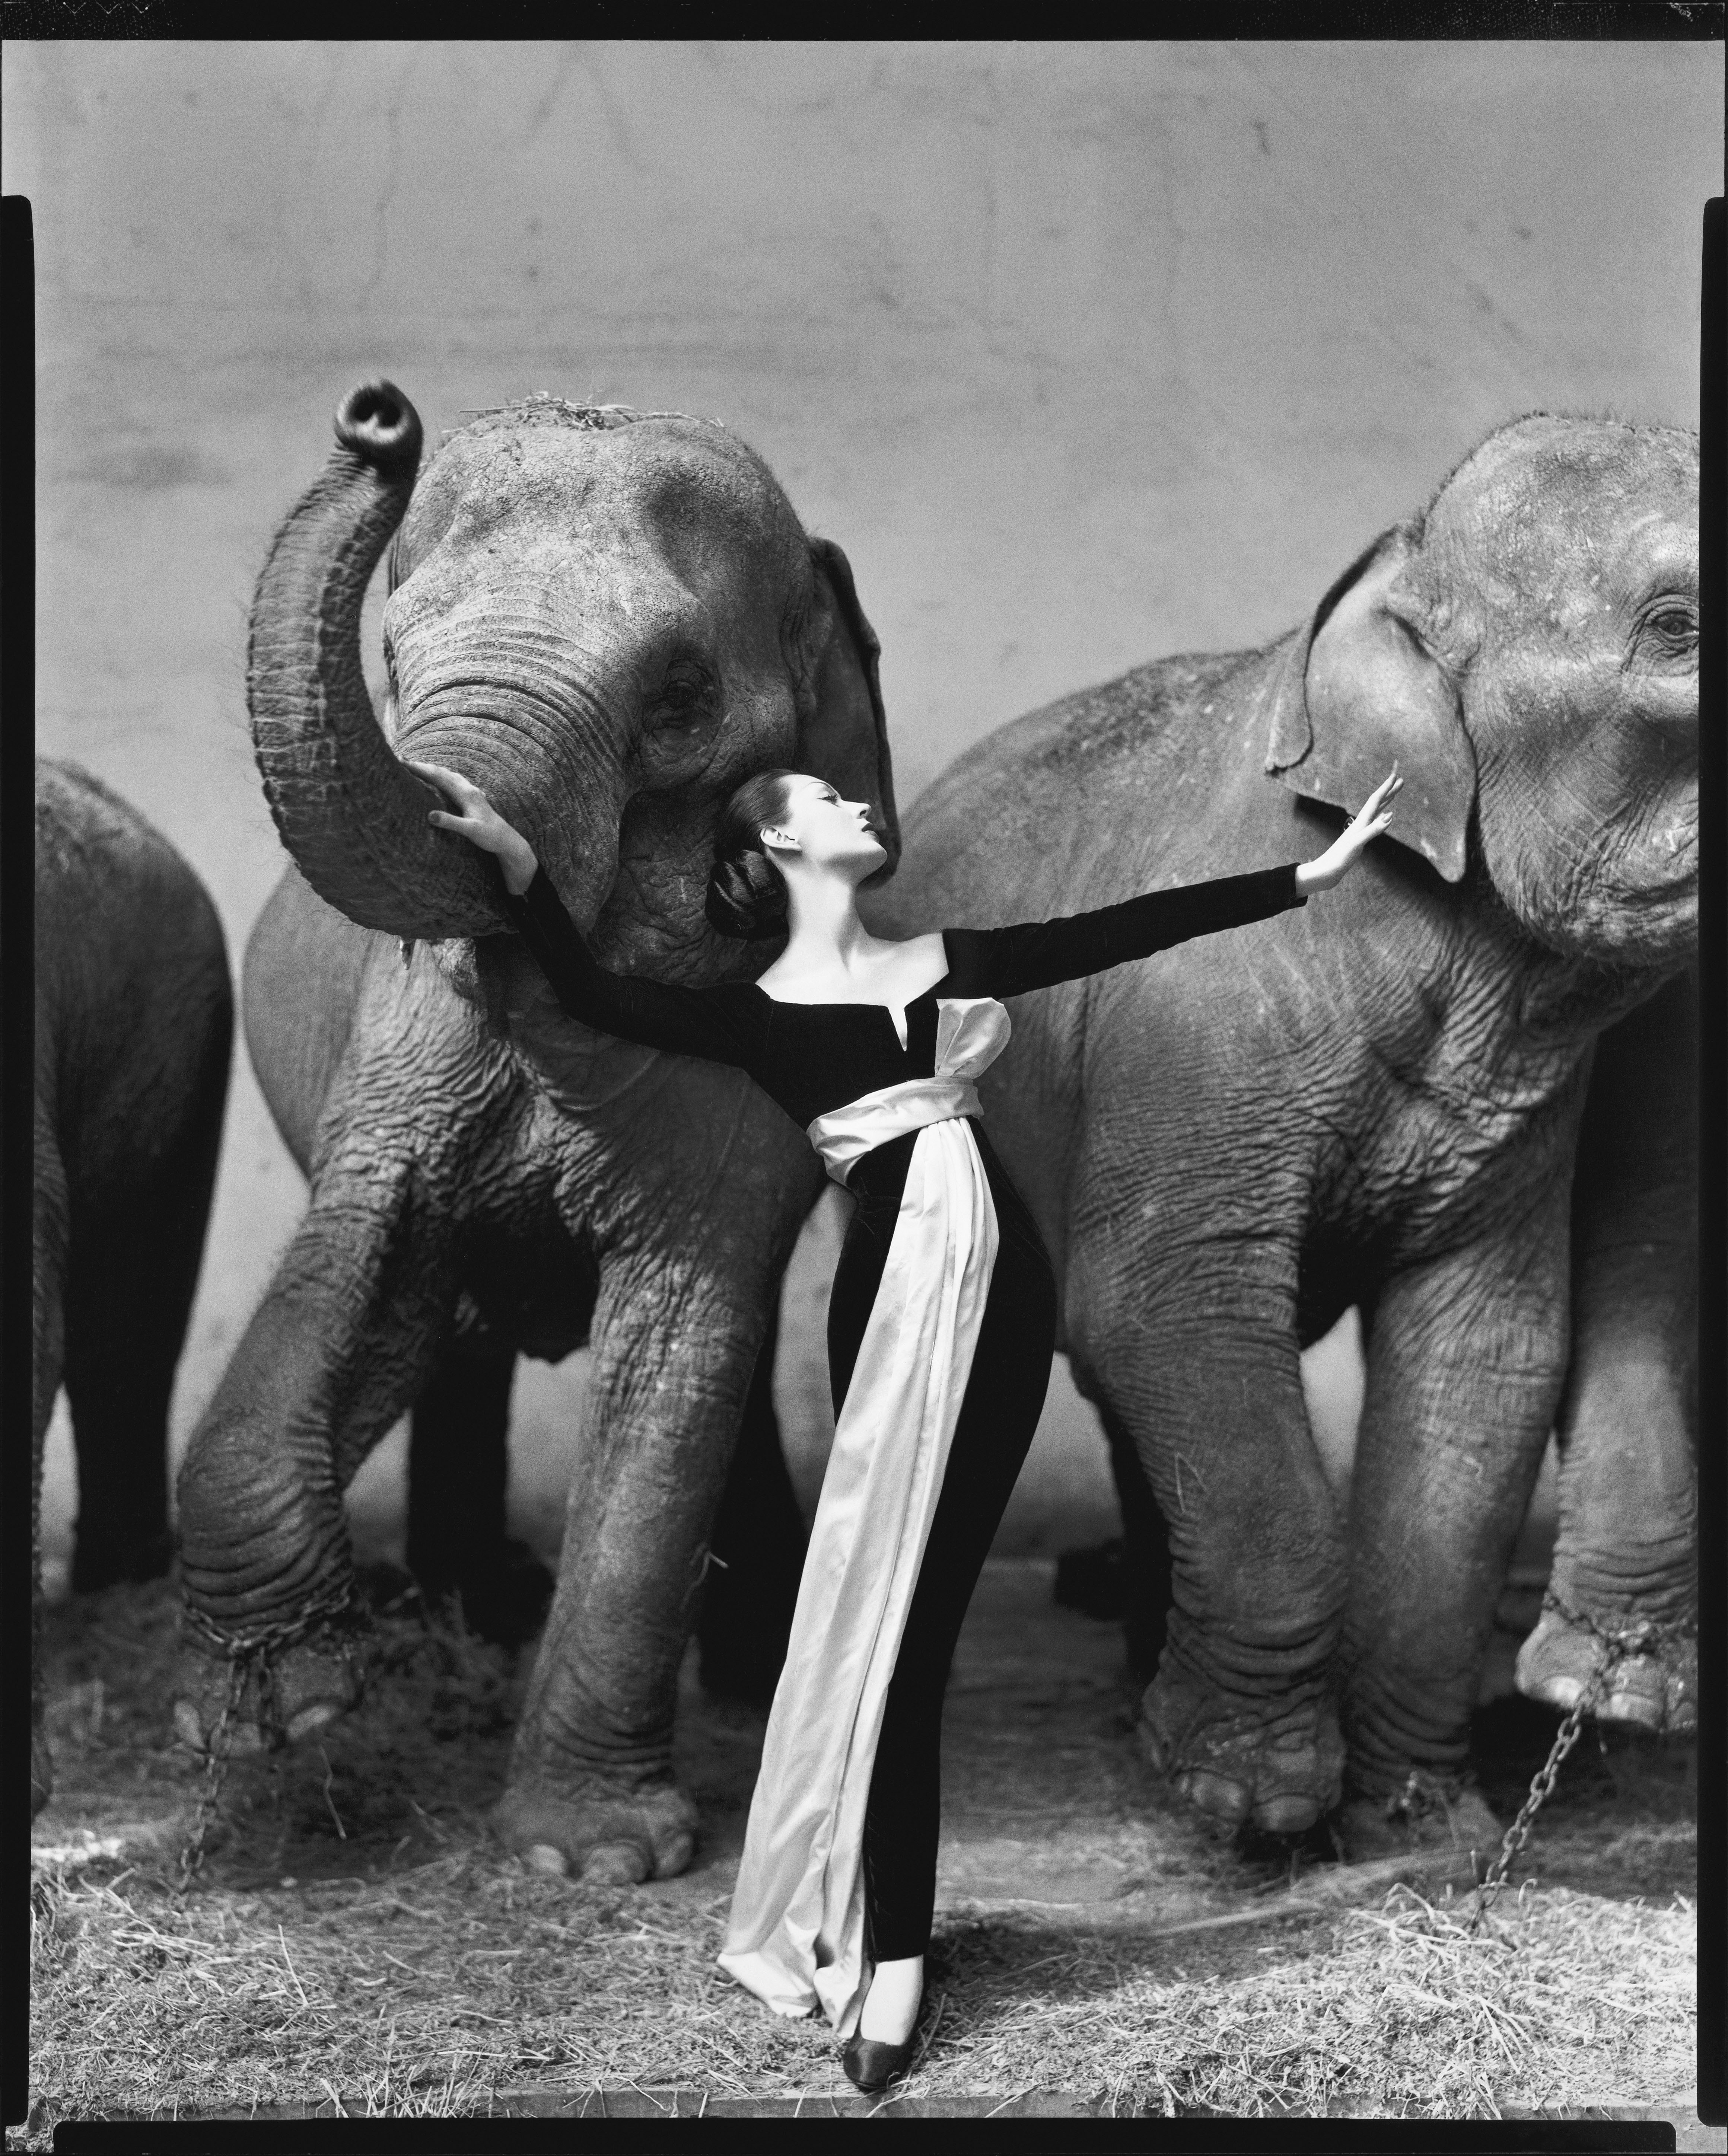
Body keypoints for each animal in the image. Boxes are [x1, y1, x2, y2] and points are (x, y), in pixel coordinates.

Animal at [170, 382, 892, 1881]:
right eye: (389, 653)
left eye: (677, 694)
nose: (378, 418)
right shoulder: (398, 1049)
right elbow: (363, 1254)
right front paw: (276, 1714)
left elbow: (682, 1337)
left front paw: (585, 1860)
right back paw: (471, 1611)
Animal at [864, 414, 1698, 1841]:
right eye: (1679, 627)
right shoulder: (1196, 1021)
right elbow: (1163, 1302)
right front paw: (1243, 1800)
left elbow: (1484, 1356)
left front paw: (1419, 1824)